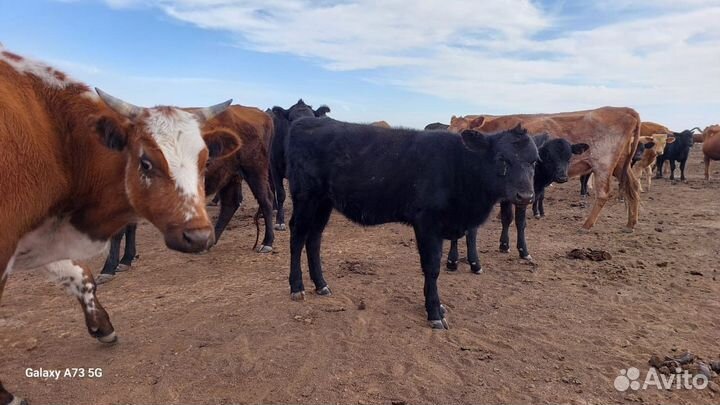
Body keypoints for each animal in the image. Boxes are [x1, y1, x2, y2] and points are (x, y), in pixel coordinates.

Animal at [0, 48, 242, 404]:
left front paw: (102, 326)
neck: (61, 143)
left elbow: (80, 275)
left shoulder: (37, 236)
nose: (198, 235)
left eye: (205, 160)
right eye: (146, 162)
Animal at [284, 117, 536, 328]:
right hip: (305, 197)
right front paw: (434, 313)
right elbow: (432, 267)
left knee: (314, 238)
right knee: (297, 235)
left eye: (534, 162)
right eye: (502, 159)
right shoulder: (427, 222)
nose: (525, 196)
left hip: (324, 202)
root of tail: (306, 121)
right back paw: (297, 287)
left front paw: (437, 307)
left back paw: (321, 284)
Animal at [448, 133, 588, 272]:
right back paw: (463, 262)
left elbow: (508, 219)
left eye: (569, 156)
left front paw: (504, 245)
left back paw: (454, 261)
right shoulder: (522, 197)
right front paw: (523, 251)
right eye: (548, 156)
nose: (562, 177)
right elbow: (518, 221)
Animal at [450, 107, 640, 232]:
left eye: (463, 130)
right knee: (633, 188)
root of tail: (625, 110)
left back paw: (586, 225)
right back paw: (630, 224)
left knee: (603, 194)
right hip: (620, 165)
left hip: (603, 164)